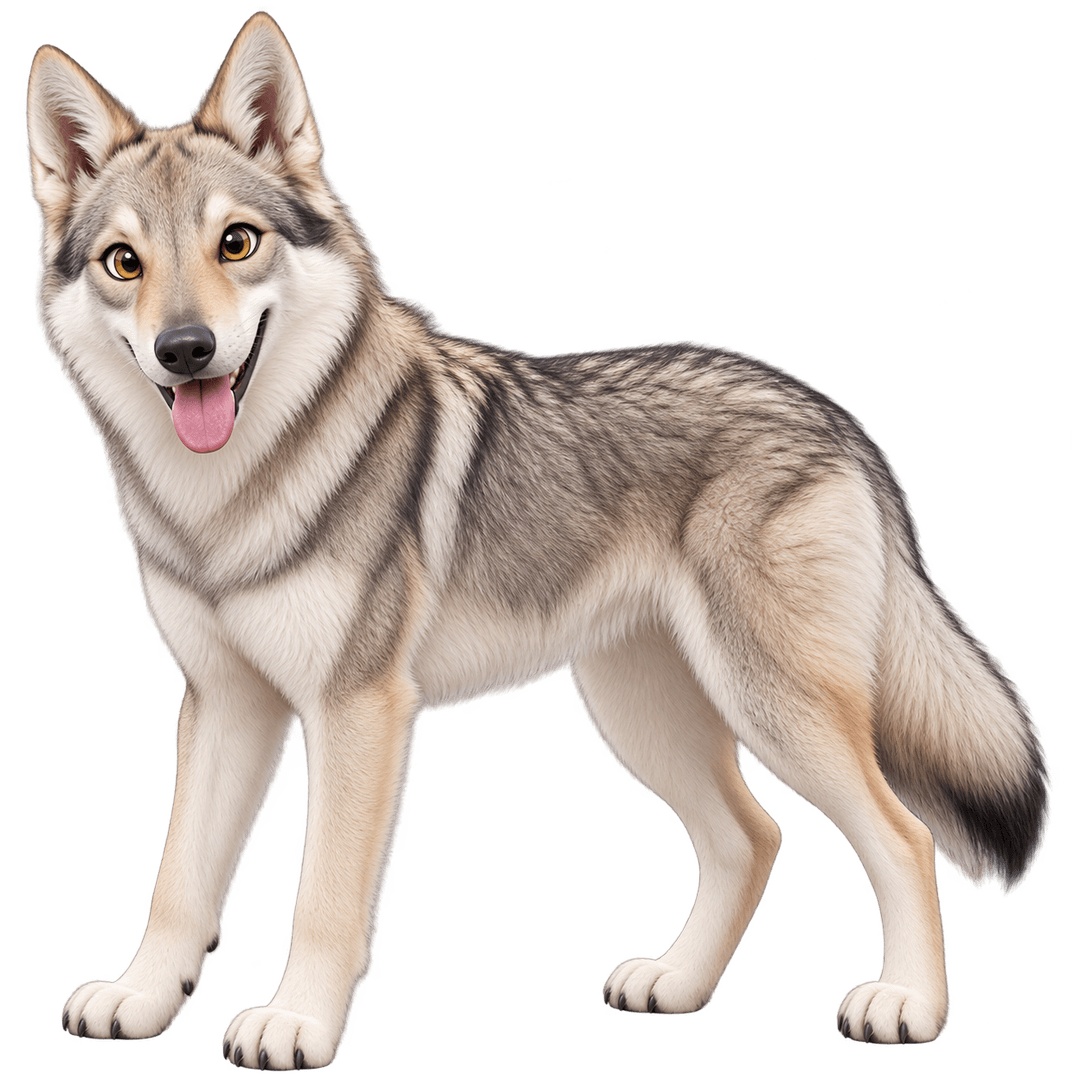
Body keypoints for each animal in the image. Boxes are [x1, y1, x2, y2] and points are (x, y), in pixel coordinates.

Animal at [23, 12, 1051, 1071]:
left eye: (237, 242)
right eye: (124, 263)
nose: (186, 350)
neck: (226, 500)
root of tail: (835, 415)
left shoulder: (356, 709)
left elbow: (325, 897)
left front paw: (296, 1023)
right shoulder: (224, 704)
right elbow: (179, 883)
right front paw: (142, 999)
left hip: (773, 704)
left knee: (903, 838)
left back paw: (906, 1006)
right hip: (644, 716)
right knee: (751, 836)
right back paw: (676, 984)